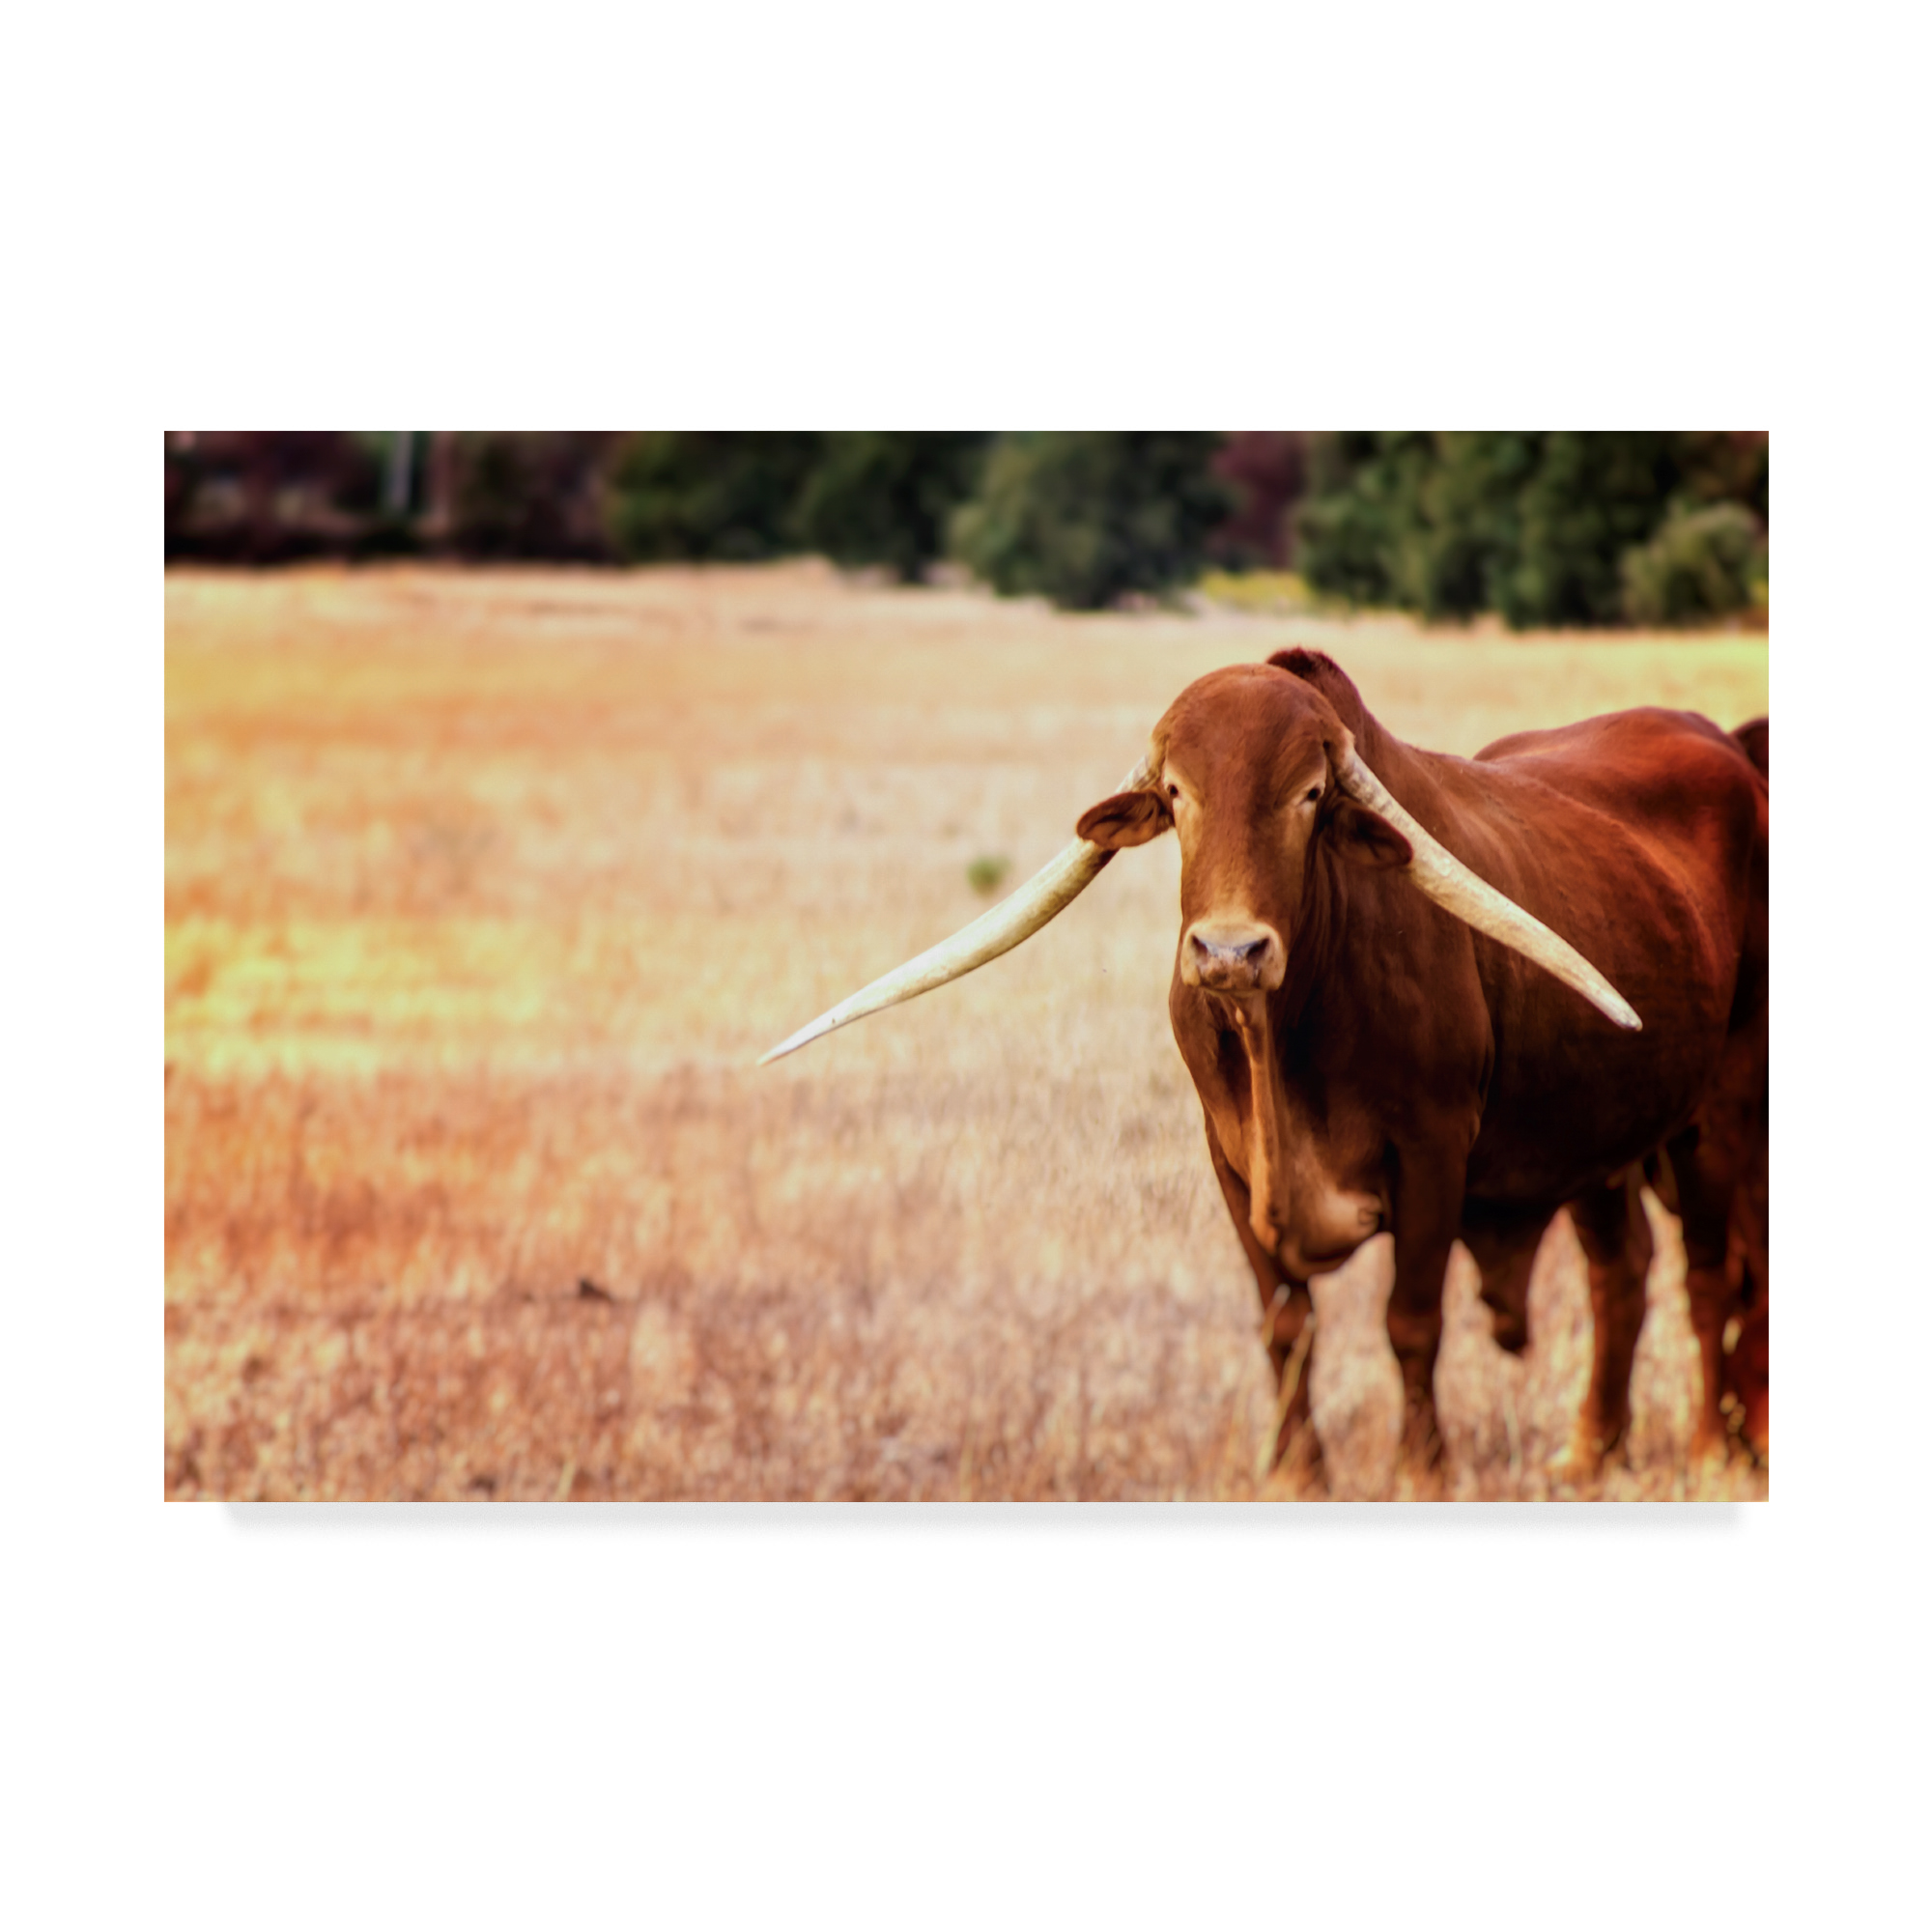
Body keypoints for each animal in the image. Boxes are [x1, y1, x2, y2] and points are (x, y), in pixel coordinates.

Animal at [763, 651, 1769, 1481]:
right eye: (1178, 793)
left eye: (1311, 794)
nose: (1229, 952)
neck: (1281, 1043)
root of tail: (1727, 745)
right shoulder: (1230, 1161)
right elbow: (1287, 1327)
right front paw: (1298, 1475)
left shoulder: (1433, 1153)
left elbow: (1412, 1321)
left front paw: (1422, 1473)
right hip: (1598, 1132)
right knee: (1623, 1269)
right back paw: (1592, 1453)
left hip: (1721, 1113)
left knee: (1712, 1274)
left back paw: (1714, 1450)